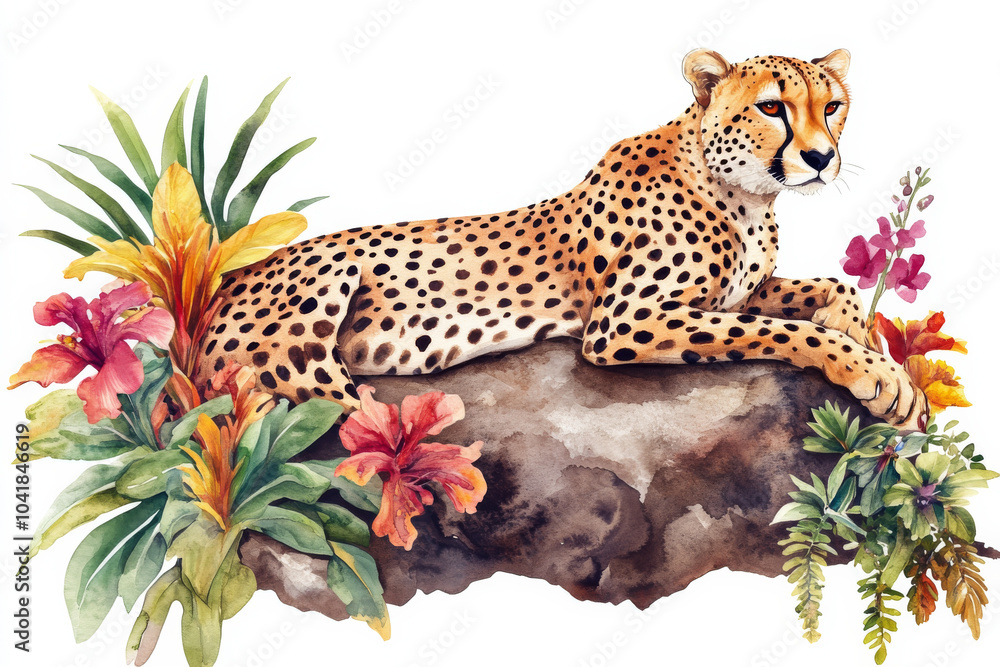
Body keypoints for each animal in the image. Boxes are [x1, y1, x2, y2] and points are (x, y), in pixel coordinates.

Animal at [198, 48, 928, 431]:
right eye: (772, 106)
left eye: (831, 106)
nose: (820, 158)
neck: (745, 196)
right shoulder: (623, 321)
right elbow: (784, 332)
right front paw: (882, 377)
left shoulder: (736, 291)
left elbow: (822, 288)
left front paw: (852, 322)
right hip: (314, 315)